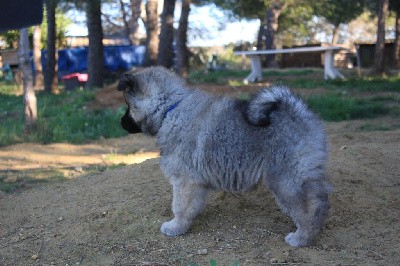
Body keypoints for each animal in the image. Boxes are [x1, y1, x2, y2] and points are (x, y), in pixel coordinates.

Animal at [118, 66, 332, 247]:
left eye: (128, 104)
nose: (120, 122)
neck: (170, 109)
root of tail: (298, 114)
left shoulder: (184, 181)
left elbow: (179, 206)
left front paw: (175, 227)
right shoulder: (196, 182)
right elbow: (191, 205)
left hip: (286, 178)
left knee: (308, 208)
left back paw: (301, 237)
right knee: (319, 200)